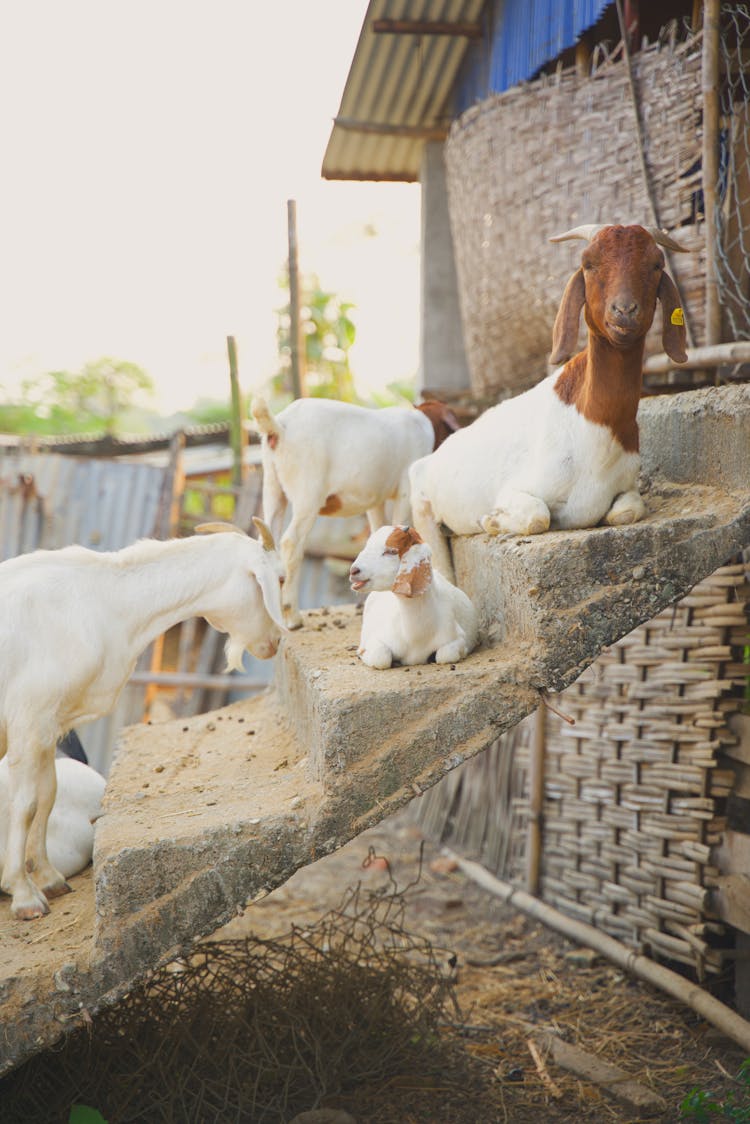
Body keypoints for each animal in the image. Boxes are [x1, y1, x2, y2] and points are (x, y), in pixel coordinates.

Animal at [251, 395, 461, 629]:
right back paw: (293, 616)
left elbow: (381, 530)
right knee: (291, 542)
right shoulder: (406, 489)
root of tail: (279, 426)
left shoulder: (376, 500)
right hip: (308, 491)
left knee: (267, 537)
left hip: (272, 485)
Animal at [411, 224, 692, 584]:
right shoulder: (517, 490)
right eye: (588, 264)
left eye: (656, 264)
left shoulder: (626, 488)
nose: (625, 311)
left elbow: (627, 510)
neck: (593, 423)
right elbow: (538, 516)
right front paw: (493, 521)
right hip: (421, 506)